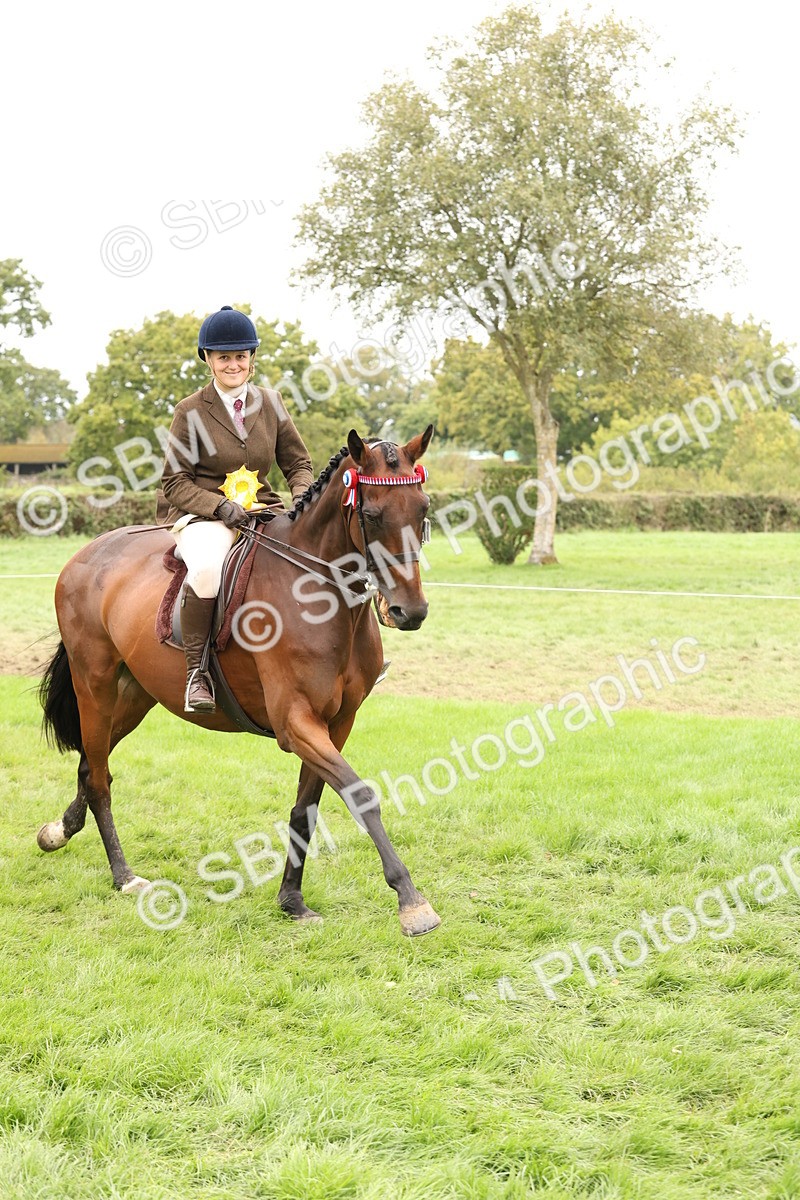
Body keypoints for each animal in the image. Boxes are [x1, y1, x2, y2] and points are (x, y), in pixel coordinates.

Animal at [36, 427, 441, 937]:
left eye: (423, 509)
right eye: (371, 514)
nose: (411, 612)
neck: (321, 597)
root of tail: (86, 553)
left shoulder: (336, 723)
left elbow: (307, 806)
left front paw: (291, 900)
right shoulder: (296, 723)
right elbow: (360, 795)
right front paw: (411, 902)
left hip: (134, 696)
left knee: (92, 766)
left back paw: (58, 832)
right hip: (96, 685)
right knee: (99, 776)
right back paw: (124, 876)